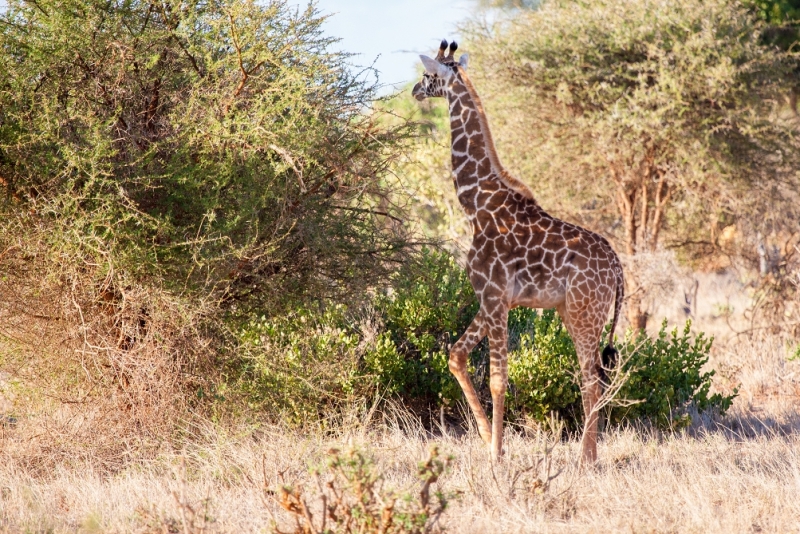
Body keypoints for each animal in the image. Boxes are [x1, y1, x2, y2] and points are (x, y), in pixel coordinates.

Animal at [412, 40, 624, 464]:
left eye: (428, 75)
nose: (414, 91)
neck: (476, 205)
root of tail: (619, 268)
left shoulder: (494, 296)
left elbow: (498, 379)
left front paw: (497, 453)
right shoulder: (494, 298)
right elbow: (456, 356)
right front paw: (483, 437)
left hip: (584, 314)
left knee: (591, 379)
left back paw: (586, 458)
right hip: (572, 312)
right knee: (594, 378)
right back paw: (589, 454)